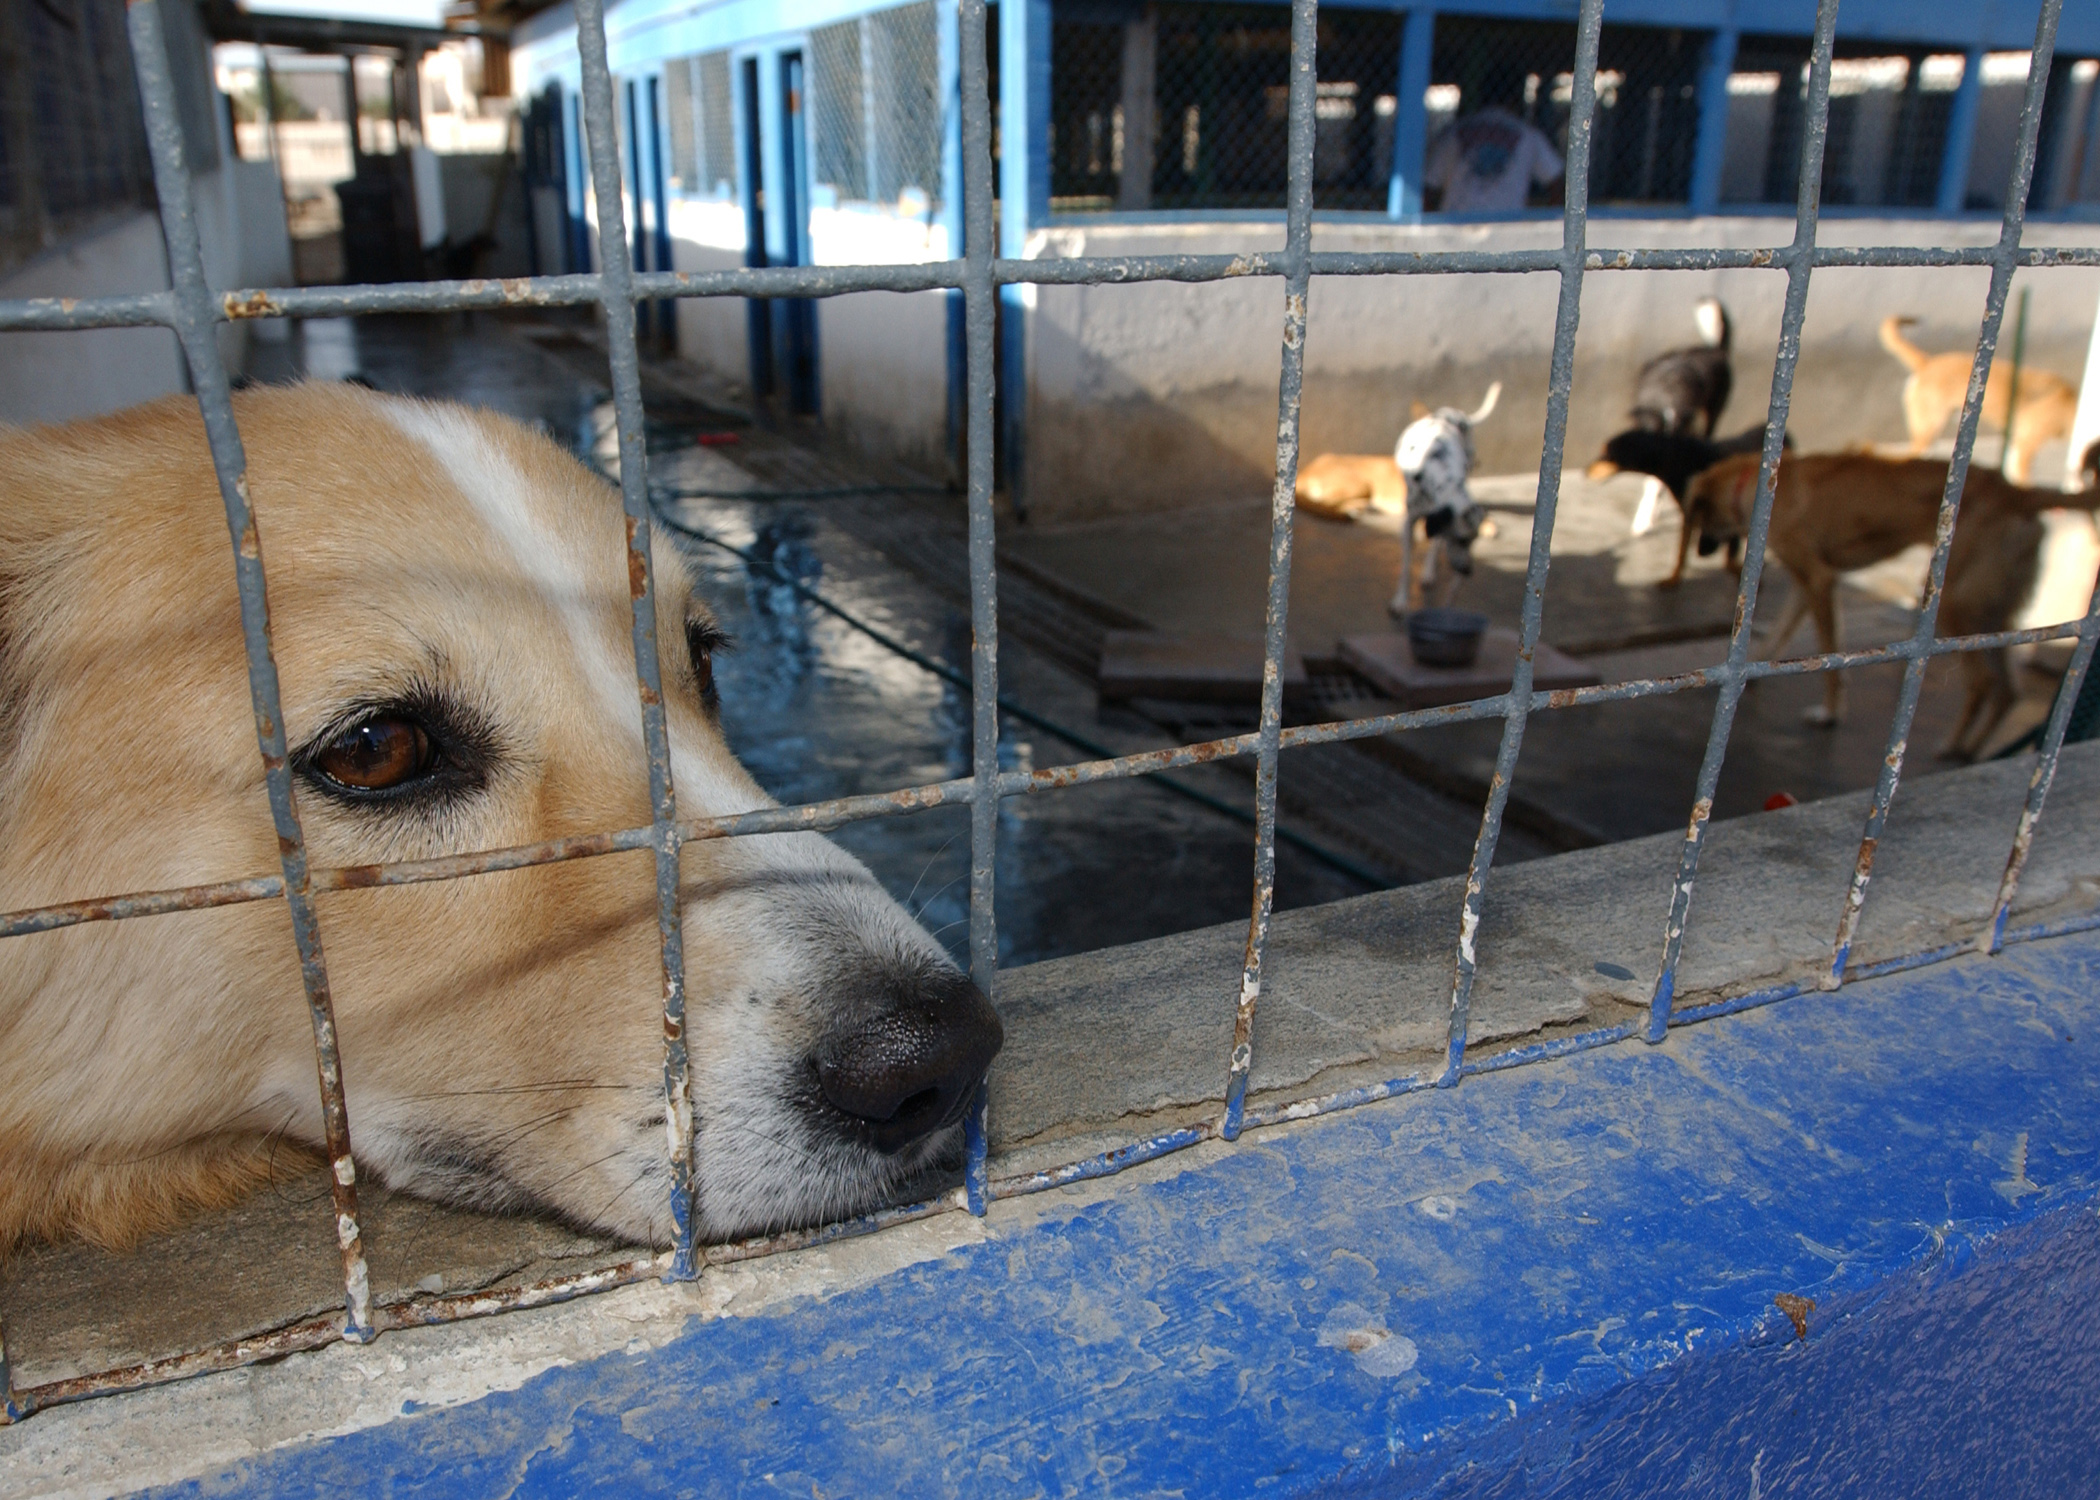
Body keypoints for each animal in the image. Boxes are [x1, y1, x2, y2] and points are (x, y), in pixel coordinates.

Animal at [1385, 388, 1503, 621]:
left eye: (1473, 540)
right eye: (1461, 539)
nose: (1467, 571)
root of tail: (1449, 414)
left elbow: (1437, 543)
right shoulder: (1409, 521)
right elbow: (1405, 565)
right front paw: (1400, 601)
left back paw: (1429, 571)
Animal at [1579, 424, 1780, 588]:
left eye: (1607, 454)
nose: (1584, 471)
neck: (1672, 456)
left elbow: (1730, 559)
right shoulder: (1689, 514)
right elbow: (1681, 552)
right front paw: (1673, 578)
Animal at [1688, 441, 2100, 747]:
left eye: (1701, 517)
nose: (1701, 552)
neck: (1755, 484)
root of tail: (2016, 491)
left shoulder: (1819, 579)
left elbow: (1828, 653)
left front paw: (1830, 713)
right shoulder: (1808, 585)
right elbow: (1779, 635)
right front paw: (1752, 674)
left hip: (1953, 602)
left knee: (1984, 682)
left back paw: (1951, 748)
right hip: (1992, 610)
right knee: (2009, 690)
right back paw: (1971, 752)